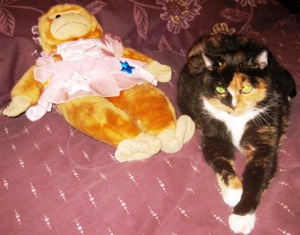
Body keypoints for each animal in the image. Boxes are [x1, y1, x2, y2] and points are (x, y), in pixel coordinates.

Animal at [177, 34, 296, 234]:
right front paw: (234, 193)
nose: (232, 105)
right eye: (220, 89)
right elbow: (221, 162)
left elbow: (257, 178)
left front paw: (241, 217)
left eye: (246, 88)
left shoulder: (264, 143)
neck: (237, 120)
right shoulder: (213, 135)